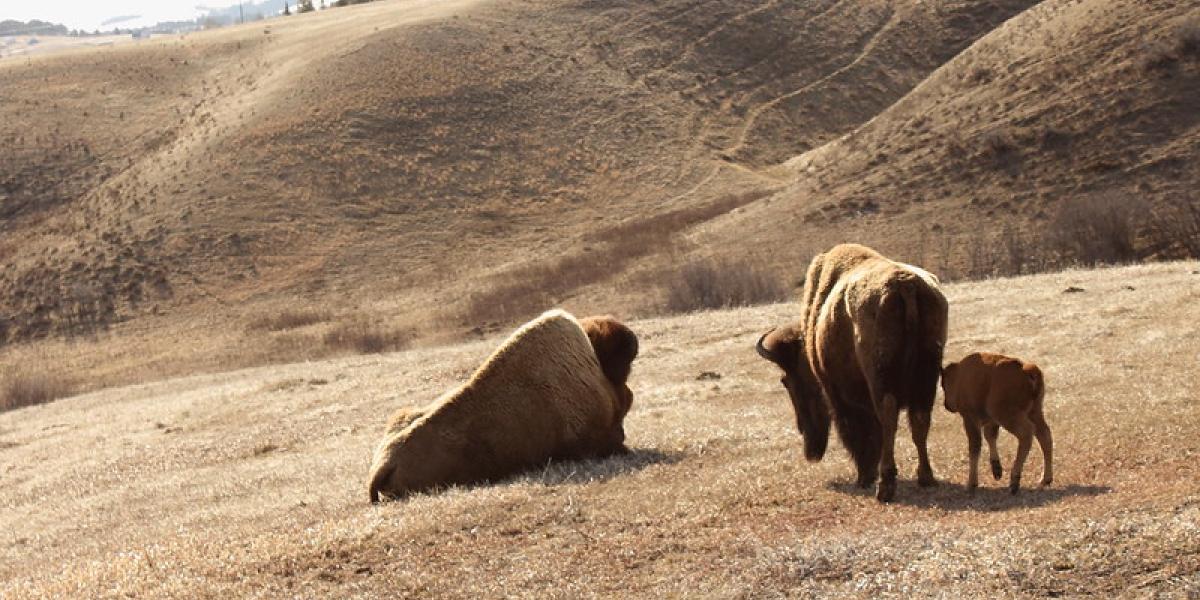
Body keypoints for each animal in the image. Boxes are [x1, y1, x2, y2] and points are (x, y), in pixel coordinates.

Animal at [758, 243, 945, 501]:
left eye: (787, 380)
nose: (810, 451)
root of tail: (905, 285)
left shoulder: (837, 393)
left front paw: (864, 476)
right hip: (928, 373)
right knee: (919, 420)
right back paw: (926, 477)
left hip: (881, 379)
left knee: (887, 418)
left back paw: (884, 486)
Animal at [940, 350, 1056, 492]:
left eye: (943, 385)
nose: (946, 405)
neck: (959, 376)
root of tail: (1026, 369)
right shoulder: (992, 421)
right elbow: (990, 437)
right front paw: (997, 470)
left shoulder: (970, 419)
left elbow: (975, 446)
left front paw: (971, 484)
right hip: (1035, 411)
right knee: (1044, 436)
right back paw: (1045, 480)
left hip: (1008, 416)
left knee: (1026, 434)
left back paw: (1014, 482)